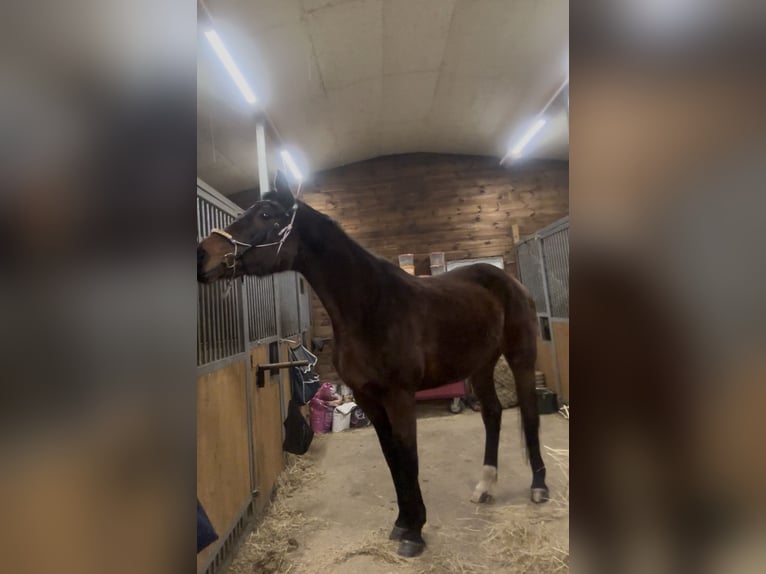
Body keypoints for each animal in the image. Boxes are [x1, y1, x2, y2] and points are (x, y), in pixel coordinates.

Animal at [197, 172, 549, 557]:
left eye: (265, 215)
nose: (203, 254)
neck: (370, 306)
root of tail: (509, 281)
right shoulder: (368, 397)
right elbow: (392, 456)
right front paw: (402, 523)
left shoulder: (400, 395)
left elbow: (408, 455)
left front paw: (415, 533)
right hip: (481, 365)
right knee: (493, 414)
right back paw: (485, 486)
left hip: (521, 356)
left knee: (530, 413)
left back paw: (539, 486)